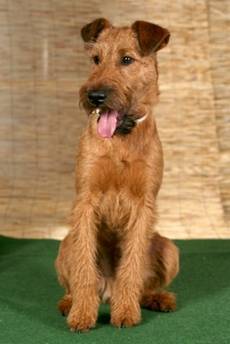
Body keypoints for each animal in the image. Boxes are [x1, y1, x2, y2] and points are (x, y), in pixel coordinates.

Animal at [55, 17, 180, 332]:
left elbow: (132, 264)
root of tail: (107, 292)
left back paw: (157, 298)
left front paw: (125, 312)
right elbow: (84, 269)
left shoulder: (143, 203)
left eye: (127, 59)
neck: (121, 139)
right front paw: (82, 315)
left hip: (169, 248)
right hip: (65, 246)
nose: (95, 96)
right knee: (73, 281)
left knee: (146, 284)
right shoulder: (86, 200)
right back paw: (69, 303)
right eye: (95, 59)